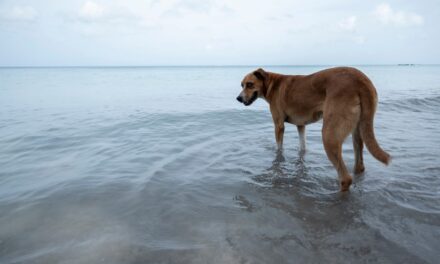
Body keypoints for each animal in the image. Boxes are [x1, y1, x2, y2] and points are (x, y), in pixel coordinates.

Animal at [237, 67, 392, 192]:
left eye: (249, 84)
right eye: (242, 85)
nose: (238, 98)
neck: (272, 84)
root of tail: (361, 80)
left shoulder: (279, 125)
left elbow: (279, 148)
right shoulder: (301, 125)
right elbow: (302, 147)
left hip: (329, 135)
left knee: (345, 178)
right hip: (358, 131)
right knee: (359, 165)